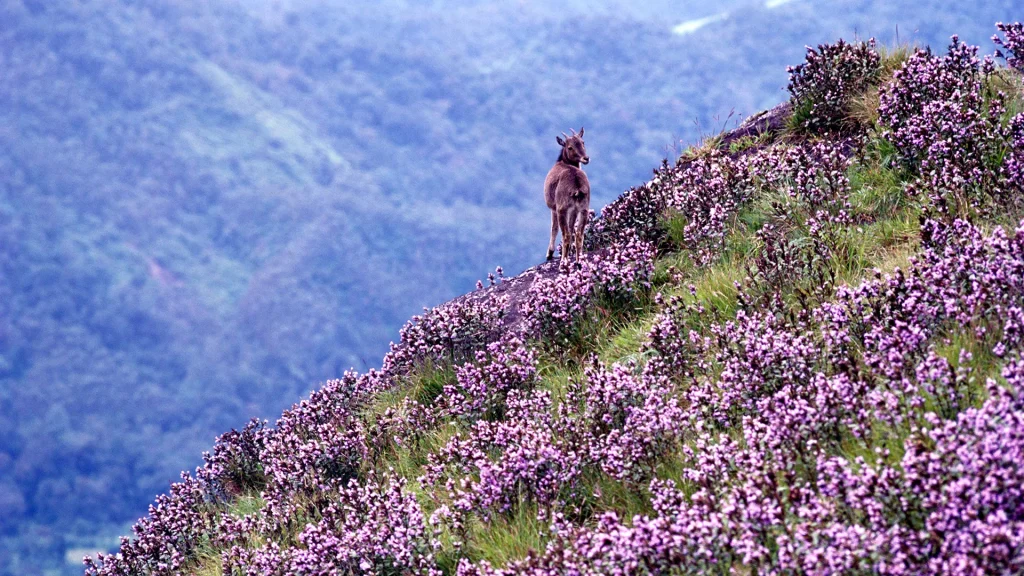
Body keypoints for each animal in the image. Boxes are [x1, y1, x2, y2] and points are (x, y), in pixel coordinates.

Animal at [544, 127, 593, 260]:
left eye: (582, 142)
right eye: (570, 147)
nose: (586, 158)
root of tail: (577, 187)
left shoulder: (554, 208)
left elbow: (554, 228)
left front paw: (549, 254)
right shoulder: (574, 210)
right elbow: (572, 229)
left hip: (562, 208)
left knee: (565, 234)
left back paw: (563, 261)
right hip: (584, 208)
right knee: (579, 234)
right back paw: (578, 261)